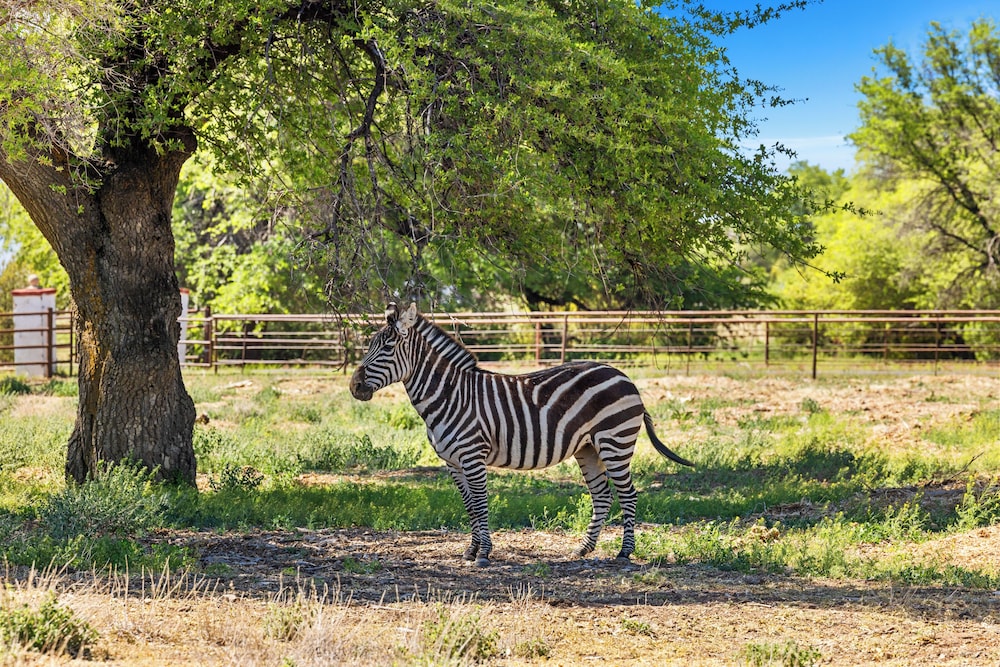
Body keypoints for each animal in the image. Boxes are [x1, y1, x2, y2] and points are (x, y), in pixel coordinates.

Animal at [349, 302, 694, 566]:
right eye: (369, 346)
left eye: (388, 346)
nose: (354, 386)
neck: (449, 395)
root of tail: (623, 375)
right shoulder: (453, 463)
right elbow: (469, 506)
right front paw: (471, 550)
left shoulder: (472, 456)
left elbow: (480, 503)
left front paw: (484, 554)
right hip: (588, 448)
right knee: (602, 495)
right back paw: (583, 549)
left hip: (615, 442)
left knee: (628, 494)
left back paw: (624, 553)